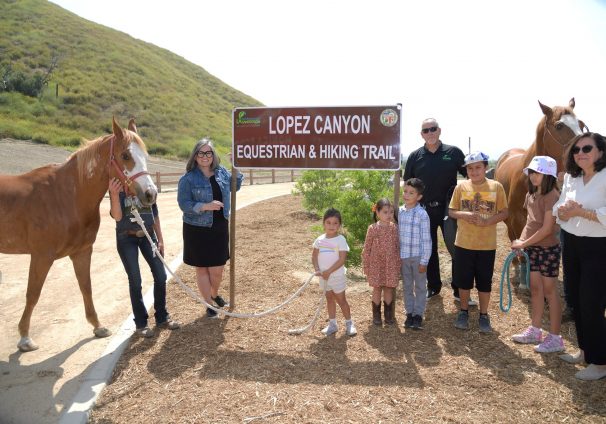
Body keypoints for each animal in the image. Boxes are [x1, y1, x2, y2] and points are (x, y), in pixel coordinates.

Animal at [0, 117, 159, 352]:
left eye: (145, 156)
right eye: (125, 156)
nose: (150, 194)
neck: (67, 196)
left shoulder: (82, 252)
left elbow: (86, 287)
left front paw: (98, 326)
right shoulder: (41, 256)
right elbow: (32, 294)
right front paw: (25, 338)